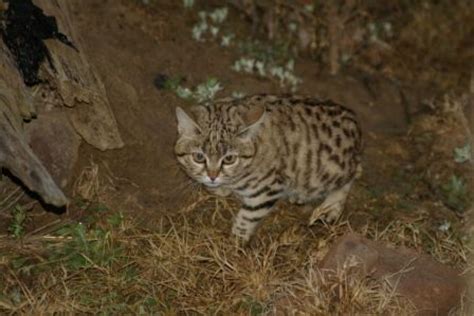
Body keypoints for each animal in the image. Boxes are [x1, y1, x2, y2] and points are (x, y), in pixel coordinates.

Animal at [174, 94, 362, 242]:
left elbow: (249, 215)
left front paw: (237, 238)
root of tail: (355, 125)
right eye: (199, 157)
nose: (212, 176)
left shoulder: (269, 188)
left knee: (353, 175)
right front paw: (219, 188)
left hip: (329, 172)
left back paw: (330, 208)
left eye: (229, 159)